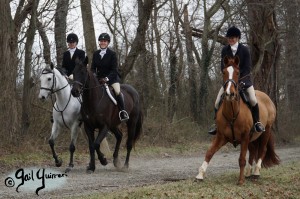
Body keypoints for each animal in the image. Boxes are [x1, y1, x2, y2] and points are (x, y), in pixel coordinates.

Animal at [196, 55, 280, 184]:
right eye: (224, 72)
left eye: (237, 72)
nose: (229, 94)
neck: (232, 113)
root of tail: (267, 97)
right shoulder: (221, 137)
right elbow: (209, 153)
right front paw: (200, 175)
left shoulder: (245, 137)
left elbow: (241, 159)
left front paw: (240, 181)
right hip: (252, 138)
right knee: (253, 152)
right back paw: (248, 173)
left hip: (266, 131)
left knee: (262, 150)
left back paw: (256, 173)